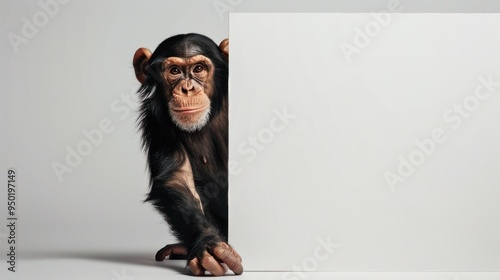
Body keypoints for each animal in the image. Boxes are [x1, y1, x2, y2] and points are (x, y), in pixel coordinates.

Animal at [132, 33, 243, 276]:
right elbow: (177, 178)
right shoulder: (157, 119)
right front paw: (208, 245)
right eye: (174, 71)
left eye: (198, 68)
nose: (187, 88)